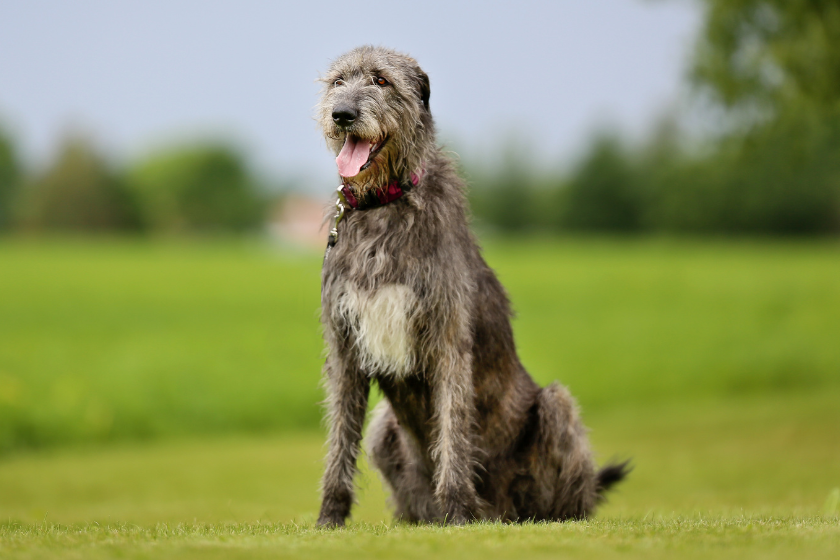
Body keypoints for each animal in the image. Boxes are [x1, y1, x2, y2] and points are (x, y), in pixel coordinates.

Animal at [316, 46, 632, 528]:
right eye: (337, 82)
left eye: (381, 80)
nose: (343, 114)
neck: (383, 205)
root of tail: (503, 511)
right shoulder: (344, 345)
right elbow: (339, 439)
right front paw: (329, 519)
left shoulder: (447, 339)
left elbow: (453, 429)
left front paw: (458, 511)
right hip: (384, 429)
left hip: (555, 408)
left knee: (567, 488)